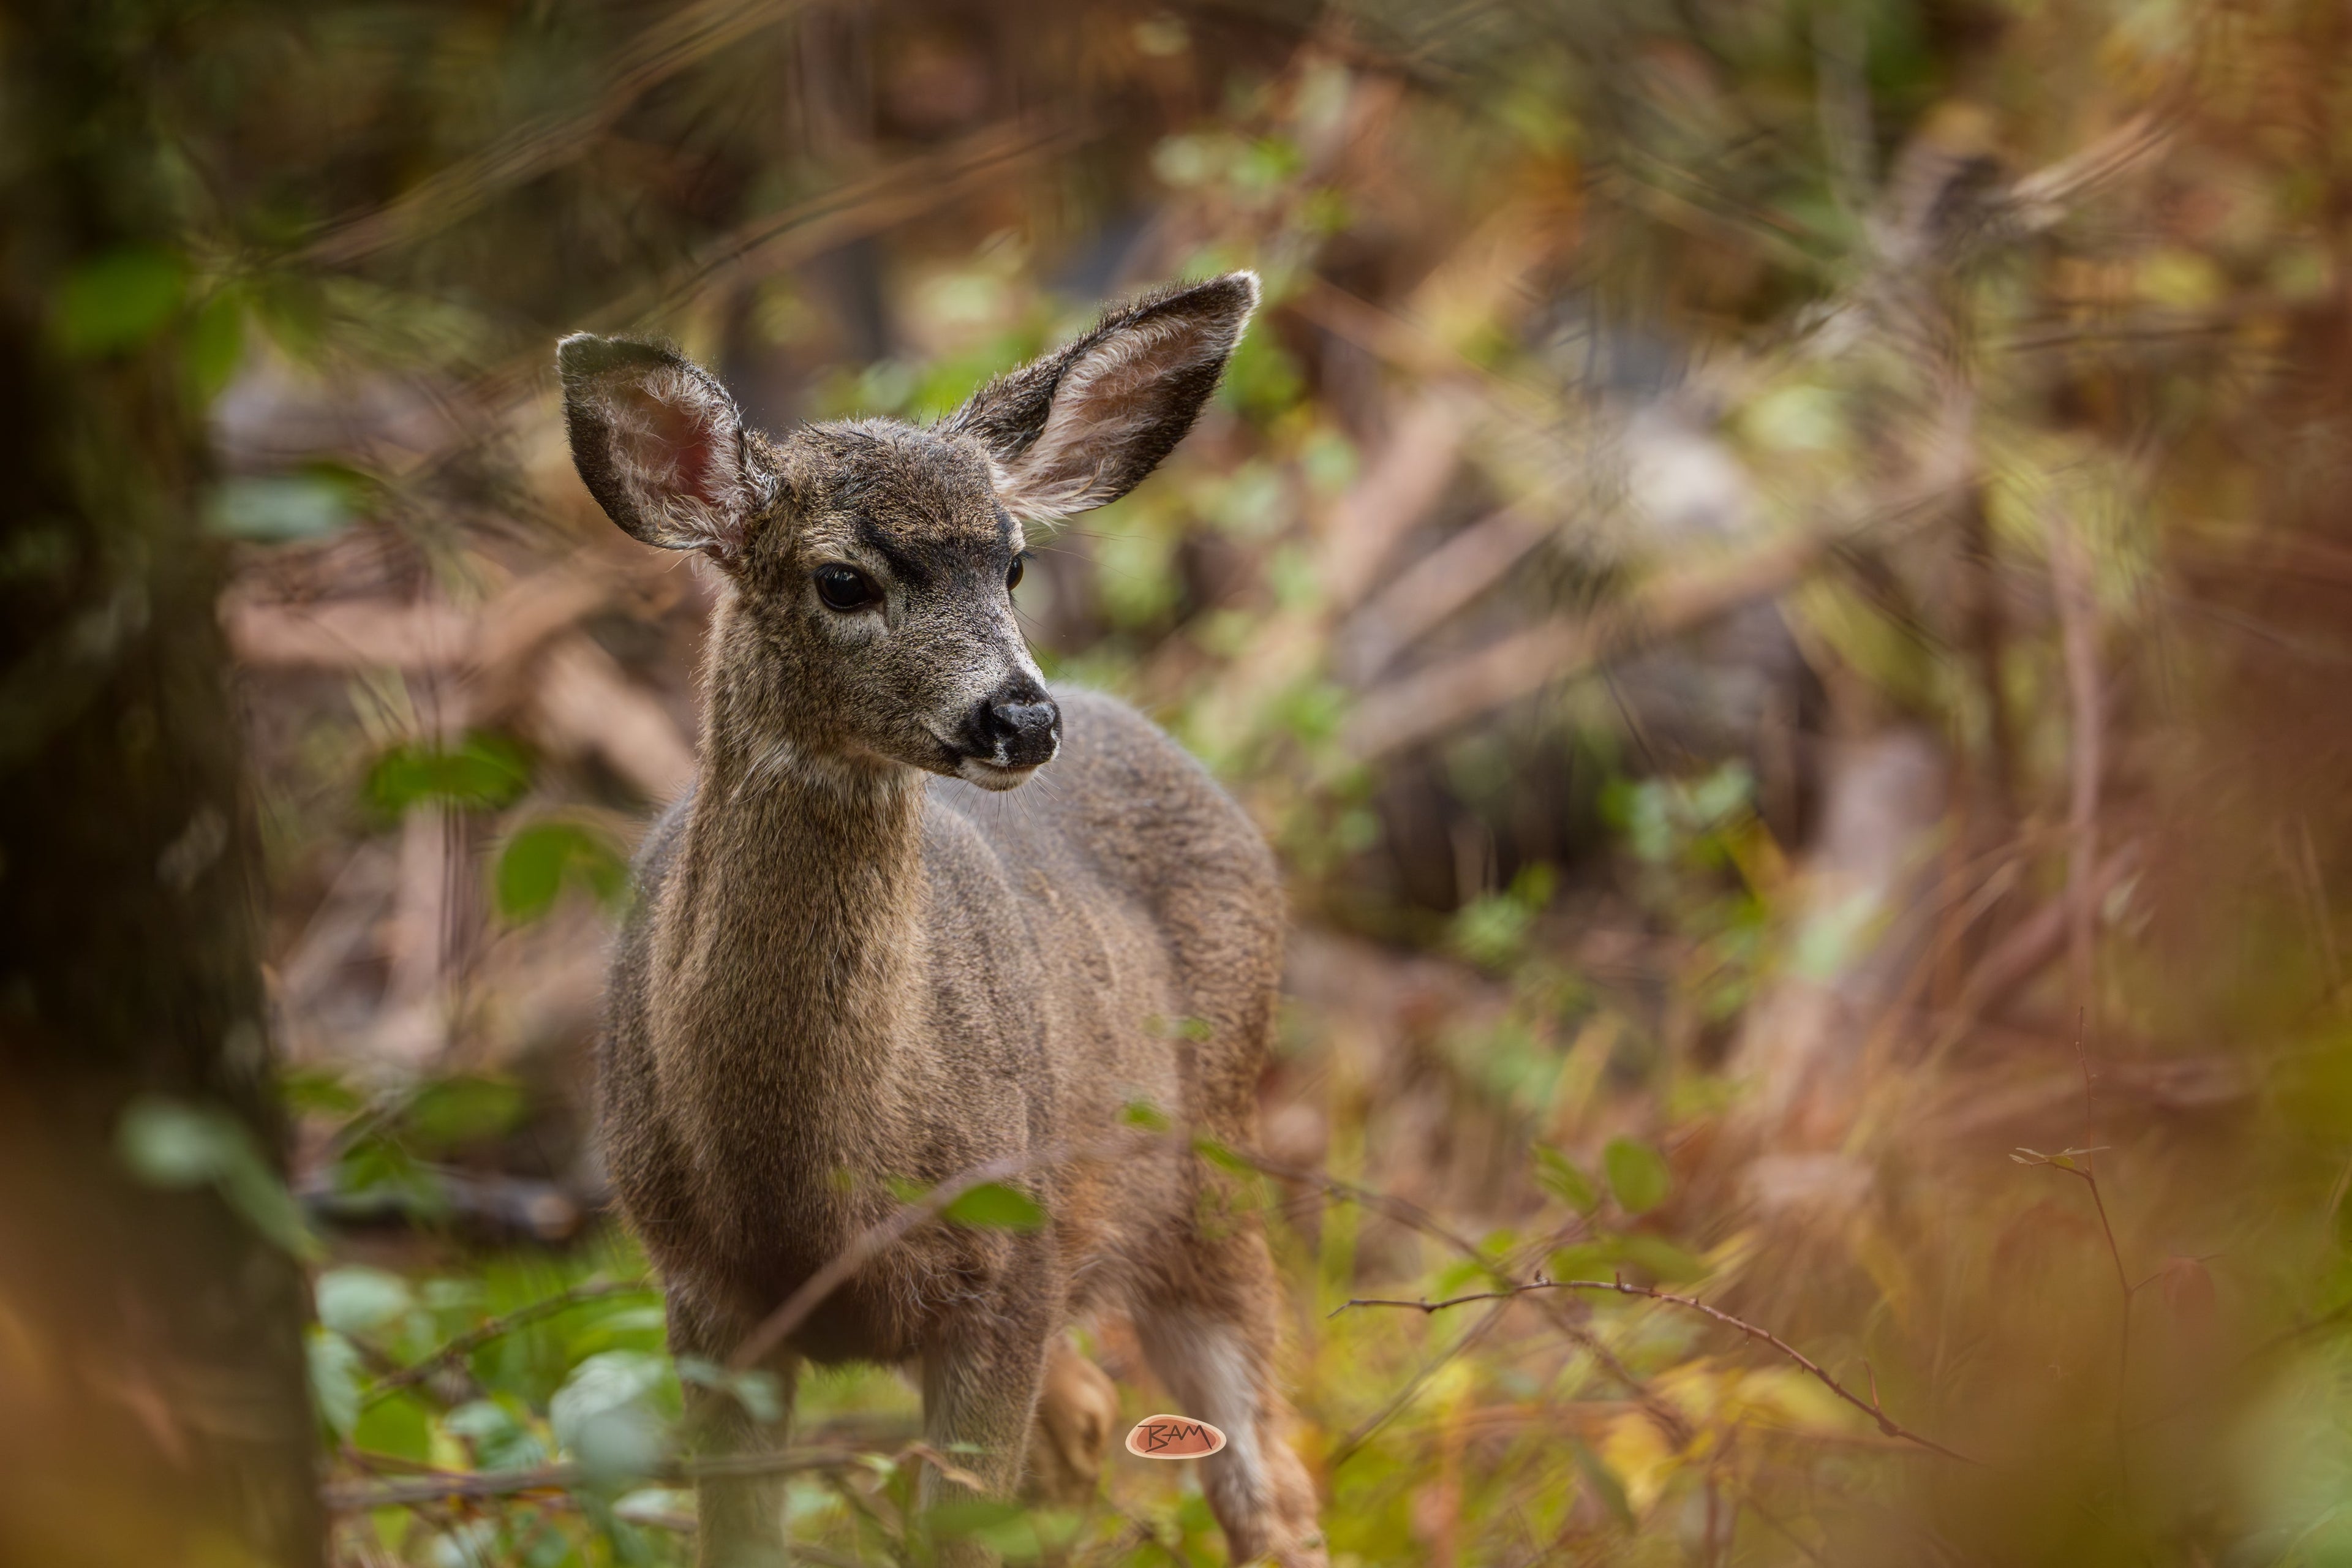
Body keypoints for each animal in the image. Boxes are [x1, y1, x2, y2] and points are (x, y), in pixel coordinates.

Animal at [558, 272, 1327, 1568]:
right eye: (843, 580)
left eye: (1012, 566)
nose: (1022, 717)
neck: (803, 1201)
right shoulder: (704, 1304)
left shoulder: (1003, 1268)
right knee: (1095, 1418)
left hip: (1207, 1164)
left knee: (1270, 1479)